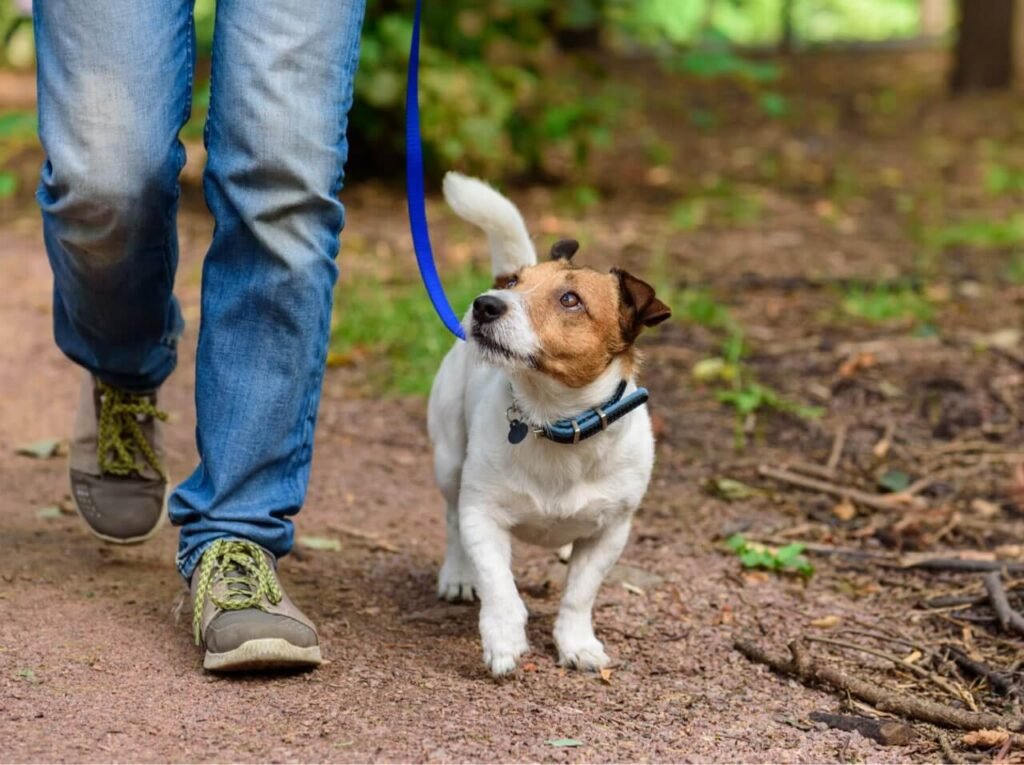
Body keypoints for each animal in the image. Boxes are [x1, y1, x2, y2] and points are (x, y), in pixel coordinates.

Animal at [425, 172, 671, 675]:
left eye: (570, 300)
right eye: (515, 283)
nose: (485, 304)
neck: (553, 421)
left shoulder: (611, 533)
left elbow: (580, 595)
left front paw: (577, 643)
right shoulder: (482, 515)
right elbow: (499, 584)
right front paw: (503, 637)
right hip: (448, 460)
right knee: (452, 521)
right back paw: (458, 574)